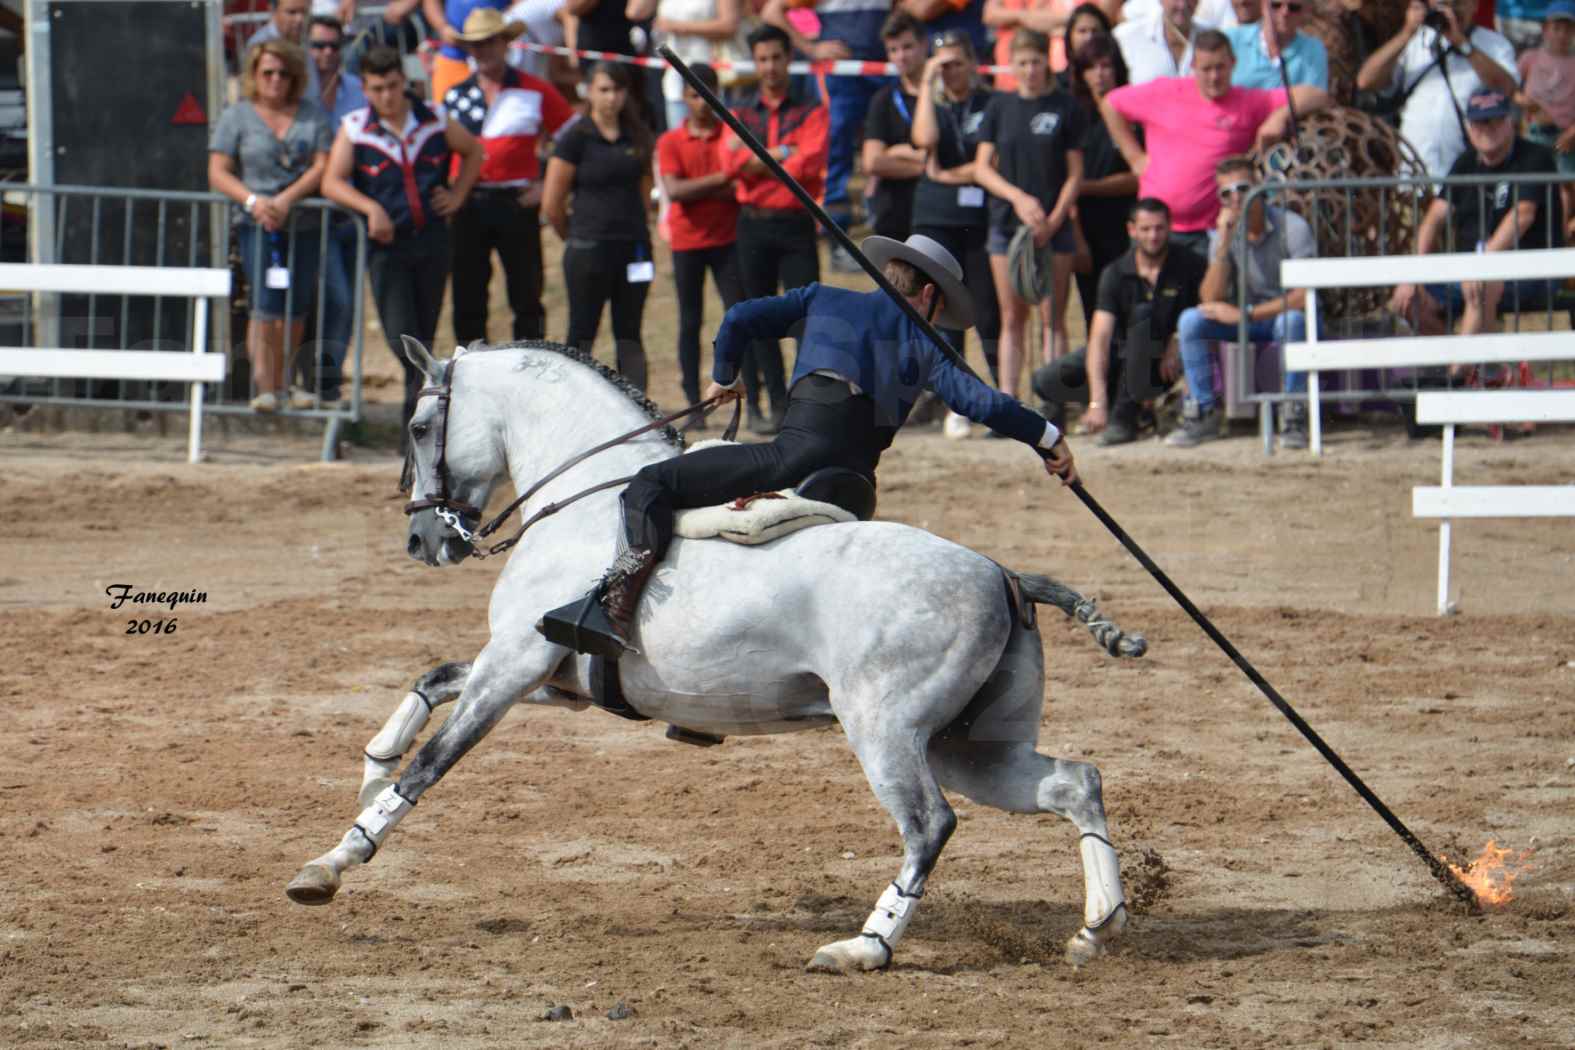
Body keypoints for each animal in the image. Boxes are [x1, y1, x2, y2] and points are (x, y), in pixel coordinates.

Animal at [286, 341, 1146, 976]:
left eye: (419, 424)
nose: (421, 538)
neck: (589, 505)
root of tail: (1004, 574)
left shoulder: (515, 664)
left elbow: (434, 763)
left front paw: (332, 862)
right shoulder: (552, 677)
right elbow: (430, 683)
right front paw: (370, 765)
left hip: (888, 735)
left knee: (929, 824)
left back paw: (864, 947)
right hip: (965, 745)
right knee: (1074, 783)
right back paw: (1095, 928)